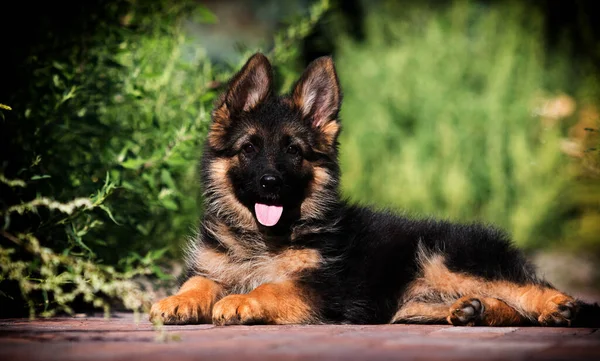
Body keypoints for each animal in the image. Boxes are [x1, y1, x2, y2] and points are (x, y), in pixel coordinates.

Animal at [151, 53, 600, 326]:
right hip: (413, 304)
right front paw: (177, 300)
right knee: (509, 308)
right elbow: (199, 281)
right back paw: (472, 311)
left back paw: (558, 308)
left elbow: (272, 286)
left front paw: (240, 300)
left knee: (529, 290)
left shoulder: (324, 288)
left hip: (450, 257)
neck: (262, 240)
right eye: (249, 149)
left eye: (293, 152)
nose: (270, 184)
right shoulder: (214, 267)